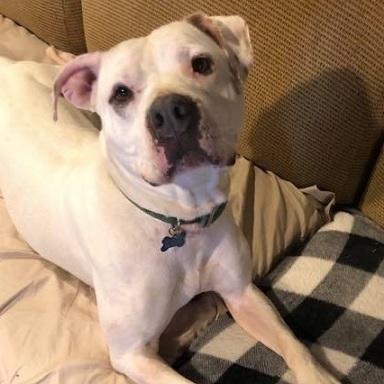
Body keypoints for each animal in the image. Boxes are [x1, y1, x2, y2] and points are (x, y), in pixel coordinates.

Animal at [0, 13, 340, 384]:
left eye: (201, 64)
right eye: (120, 93)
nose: (170, 111)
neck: (179, 216)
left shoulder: (242, 293)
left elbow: (296, 347)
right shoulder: (132, 354)